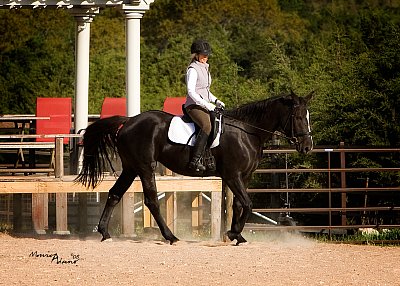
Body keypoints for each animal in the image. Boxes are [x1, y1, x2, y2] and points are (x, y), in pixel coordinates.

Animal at [75, 91, 312, 244]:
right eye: (299, 117)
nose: (308, 147)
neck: (247, 131)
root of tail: (129, 121)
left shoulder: (244, 177)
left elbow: (238, 205)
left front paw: (237, 234)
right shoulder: (233, 175)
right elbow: (247, 204)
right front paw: (233, 234)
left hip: (131, 168)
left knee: (114, 194)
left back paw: (105, 233)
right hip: (144, 168)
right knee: (151, 200)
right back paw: (170, 237)